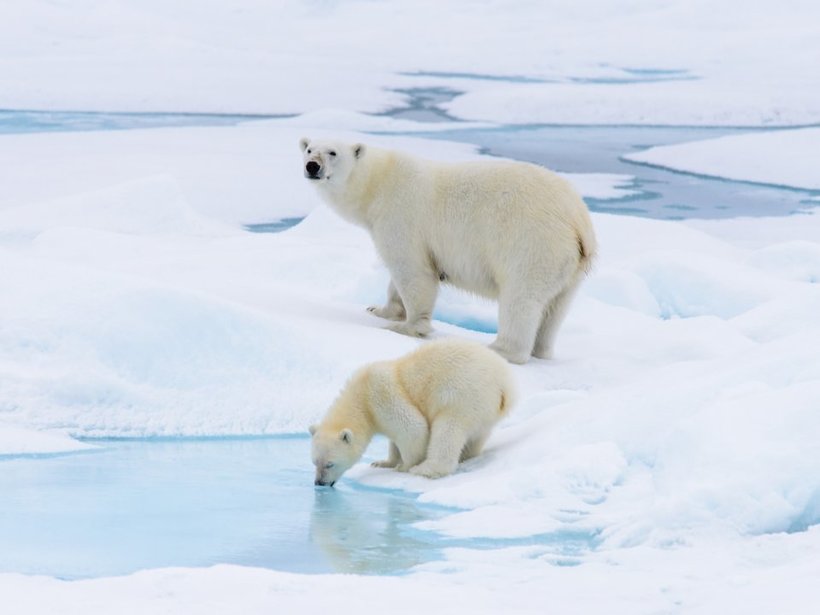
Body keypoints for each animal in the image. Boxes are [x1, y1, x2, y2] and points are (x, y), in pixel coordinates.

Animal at [300, 137, 596, 364]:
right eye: (308, 148)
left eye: (332, 152)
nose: (312, 166)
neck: (379, 182)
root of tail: (578, 221)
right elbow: (396, 281)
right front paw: (379, 310)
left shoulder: (401, 216)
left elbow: (413, 271)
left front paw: (406, 327)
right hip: (569, 266)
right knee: (555, 309)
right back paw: (541, 350)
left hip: (533, 244)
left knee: (521, 298)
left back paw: (499, 349)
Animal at [310, 336, 516, 486]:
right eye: (314, 462)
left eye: (329, 464)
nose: (319, 482)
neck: (361, 397)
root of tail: (505, 386)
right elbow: (394, 440)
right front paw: (383, 462)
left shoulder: (381, 395)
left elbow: (413, 428)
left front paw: (404, 466)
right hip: (483, 410)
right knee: (477, 436)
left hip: (461, 395)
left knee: (447, 430)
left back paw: (426, 469)